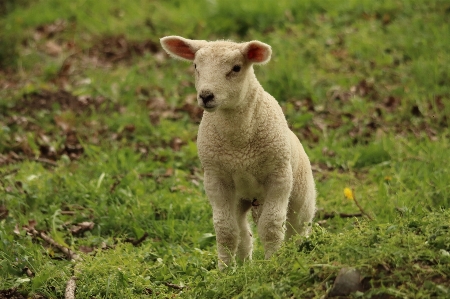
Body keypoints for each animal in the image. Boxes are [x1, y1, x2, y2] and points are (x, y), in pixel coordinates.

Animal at [160, 35, 314, 270]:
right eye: (195, 66)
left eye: (236, 68)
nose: (206, 96)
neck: (239, 145)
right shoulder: (216, 178)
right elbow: (225, 230)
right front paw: (225, 270)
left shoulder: (279, 176)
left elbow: (271, 227)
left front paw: (273, 263)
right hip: (241, 198)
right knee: (244, 232)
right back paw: (244, 266)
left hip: (301, 196)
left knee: (297, 229)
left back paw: (294, 255)